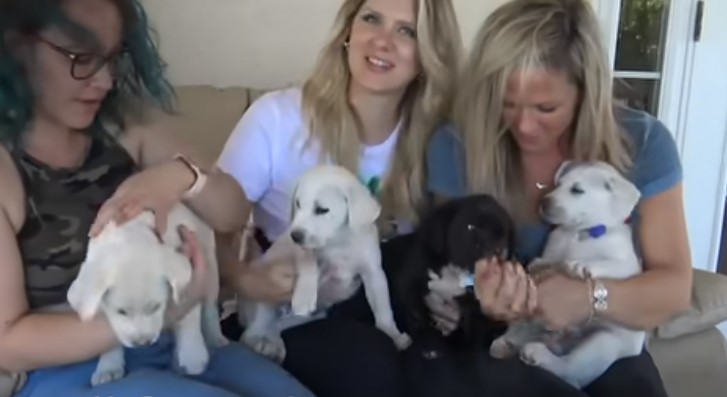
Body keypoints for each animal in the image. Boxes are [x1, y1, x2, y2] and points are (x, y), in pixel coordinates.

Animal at [68, 201, 229, 384]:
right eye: (121, 312)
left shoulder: (190, 272)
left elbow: (189, 314)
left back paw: (215, 337)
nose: (142, 343)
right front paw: (108, 367)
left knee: (210, 305)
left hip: (209, 261)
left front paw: (192, 355)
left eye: (155, 307)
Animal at [239, 162, 410, 360]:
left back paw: (275, 345)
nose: (295, 236)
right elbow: (308, 263)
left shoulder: (374, 273)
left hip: (310, 317)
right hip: (262, 301)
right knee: (250, 333)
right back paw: (263, 346)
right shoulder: (303, 252)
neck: (338, 242)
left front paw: (393, 334)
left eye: (321, 210)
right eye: (298, 204)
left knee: (274, 328)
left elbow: (383, 309)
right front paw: (304, 296)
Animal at [398, 193, 516, 352]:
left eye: (503, 235)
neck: (455, 272)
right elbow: (418, 317)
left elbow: (472, 335)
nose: (498, 250)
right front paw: (427, 344)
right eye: (471, 227)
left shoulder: (474, 309)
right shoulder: (412, 288)